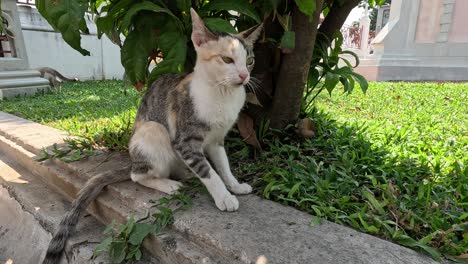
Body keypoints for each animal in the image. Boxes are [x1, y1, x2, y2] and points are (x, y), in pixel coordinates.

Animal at [41, 7, 262, 264]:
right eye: (227, 60)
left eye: (250, 61)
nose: (244, 76)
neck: (222, 95)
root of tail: (133, 161)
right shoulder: (185, 140)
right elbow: (210, 173)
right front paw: (224, 197)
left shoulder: (216, 140)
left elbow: (223, 166)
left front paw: (234, 186)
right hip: (153, 131)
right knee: (138, 175)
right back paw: (169, 184)